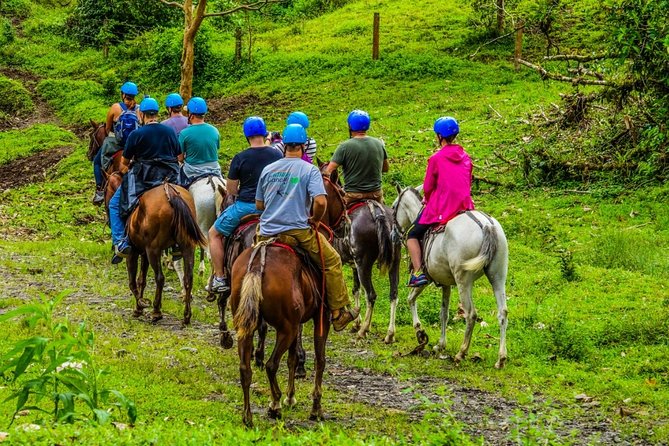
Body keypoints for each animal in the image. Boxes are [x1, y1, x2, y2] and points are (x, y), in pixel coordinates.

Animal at [105, 178, 206, 324]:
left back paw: (156, 312)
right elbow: (141, 280)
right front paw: (138, 308)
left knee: (160, 278)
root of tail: (170, 191)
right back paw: (186, 316)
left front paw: (141, 304)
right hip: (187, 247)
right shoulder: (144, 253)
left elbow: (132, 281)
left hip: (154, 250)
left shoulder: (133, 252)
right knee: (188, 278)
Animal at [231, 239, 330, 426]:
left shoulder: (297, 323)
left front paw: (290, 397)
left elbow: (293, 359)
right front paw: (316, 408)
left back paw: (248, 417)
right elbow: (320, 360)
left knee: (245, 368)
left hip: (246, 325)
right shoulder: (322, 317)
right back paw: (275, 405)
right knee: (271, 365)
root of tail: (257, 264)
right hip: (287, 328)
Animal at [320, 166, 400, 344]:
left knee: (371, 295)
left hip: (364, 263)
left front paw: (352, 320)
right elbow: (355, 289)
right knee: (393, 294)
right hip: (394, 261)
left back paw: (363, 330)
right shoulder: (353, 265)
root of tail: (378, 213)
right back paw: (390, 333)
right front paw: (356, 321)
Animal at [388, 185, 508, 370]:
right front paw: (440, 344)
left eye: (394, 207)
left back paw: (461, 353)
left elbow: (410, 298)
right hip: (498, 275)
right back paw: (501, 359)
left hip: (463, 280)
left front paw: (419, 332)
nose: (393, 236)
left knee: (471, 314)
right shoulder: (445, 283)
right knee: (502, 312)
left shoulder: (425, 277)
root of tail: (486, 225)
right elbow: (443, 313)